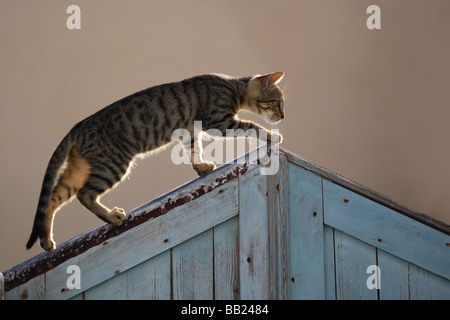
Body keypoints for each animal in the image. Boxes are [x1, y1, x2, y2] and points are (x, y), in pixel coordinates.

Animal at [26, 71, 284, 251]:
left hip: (79, 170)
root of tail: (77, 127)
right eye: (278, 102)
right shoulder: (219, 121)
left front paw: (201, 167)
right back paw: (111, 217)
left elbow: (194, 150)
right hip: (113, 164)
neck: (234, 87)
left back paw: (46, 239)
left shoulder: (191, 130)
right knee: (85, 194)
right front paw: (272, 135)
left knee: (53, 197)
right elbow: (251, 125)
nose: (283, 116)